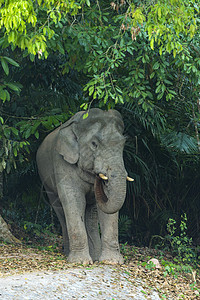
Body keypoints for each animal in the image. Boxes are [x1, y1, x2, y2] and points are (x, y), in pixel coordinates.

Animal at [36, 108, 133, 264]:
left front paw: (111, 261)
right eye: (94, 144)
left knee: (91, 214)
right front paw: (80, 261)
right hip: (46, 183)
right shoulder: (62, 161)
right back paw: (69, 253)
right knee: (60, 210)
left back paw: (95, 256)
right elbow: (74, 200)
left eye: (123, 144)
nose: (99, 175)